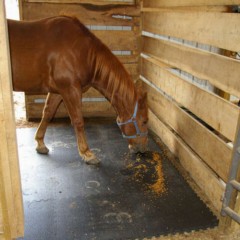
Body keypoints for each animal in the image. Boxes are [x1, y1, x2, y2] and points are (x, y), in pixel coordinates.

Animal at [7, 15, 148, 165]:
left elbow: (48, 113)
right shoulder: (70, 89)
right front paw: (87, 153)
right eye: (144, 121)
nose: (143, 149)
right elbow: (78, 121)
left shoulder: (57, 91)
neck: (81, 51)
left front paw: (40, 143)